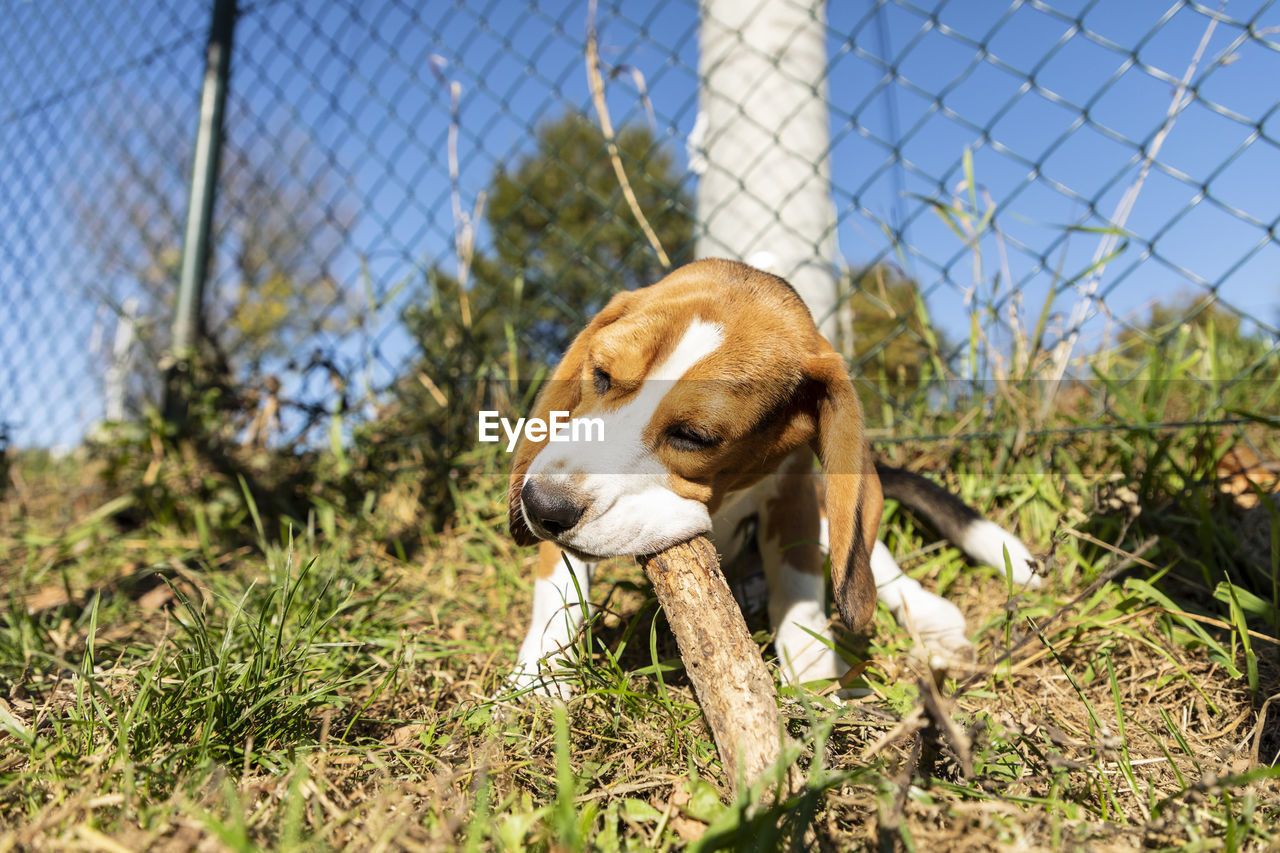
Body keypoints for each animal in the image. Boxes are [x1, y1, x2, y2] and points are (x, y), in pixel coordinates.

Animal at [504, 258, 1034, 691]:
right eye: (600, 375)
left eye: (694, 436)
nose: (541, 505)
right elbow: (556, 593)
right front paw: (536, 681)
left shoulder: (795, 491)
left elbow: (799, 585)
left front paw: (813, 669)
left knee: (868, 560)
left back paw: (929, 616)